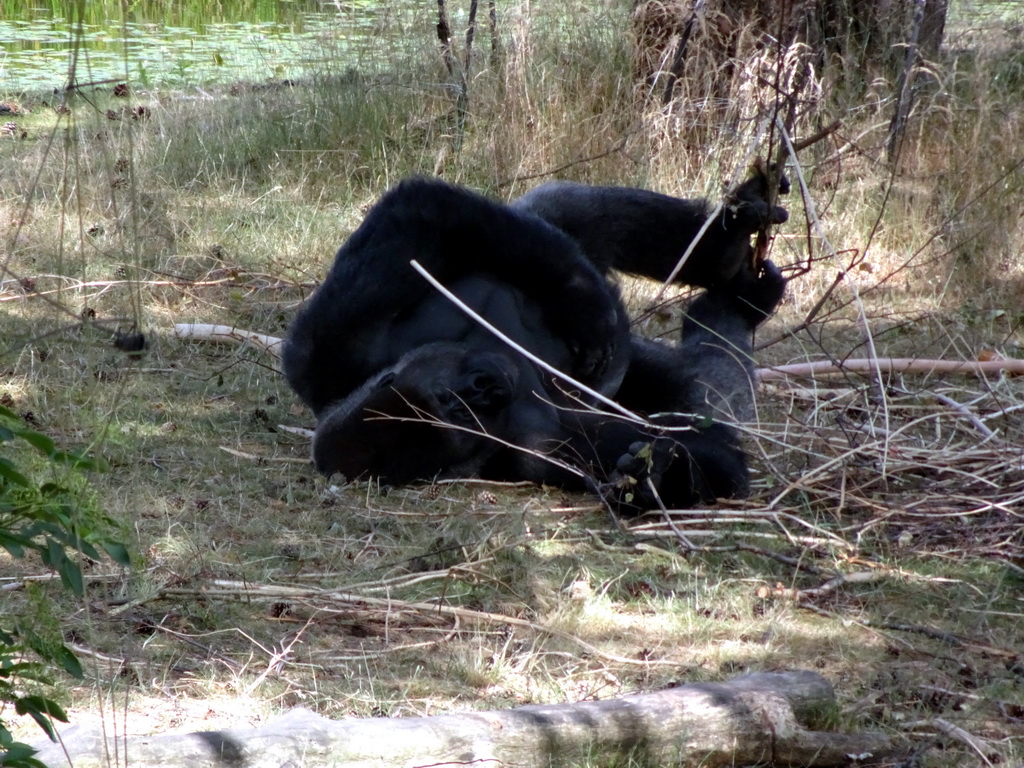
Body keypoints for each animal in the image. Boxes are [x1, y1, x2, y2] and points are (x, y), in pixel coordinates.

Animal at [280, 175, 782, 514]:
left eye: (447, 398)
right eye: (460, 416)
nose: (484, 388)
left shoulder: (334, 347)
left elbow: (417, 213)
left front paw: (580, 300)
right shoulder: (533, 445)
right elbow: (710, 454)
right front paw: (660, 478)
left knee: (562, 215)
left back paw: (725, 247)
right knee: (696, 383)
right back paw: (737, 307)